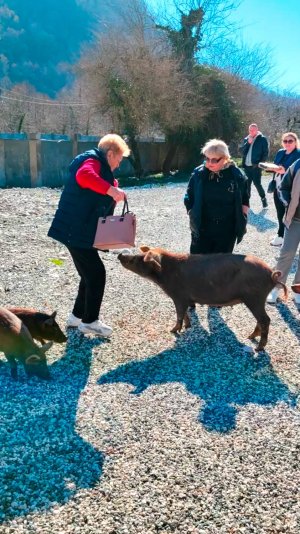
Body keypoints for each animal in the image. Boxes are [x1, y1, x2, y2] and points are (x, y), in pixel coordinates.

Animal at [118, 246, 288, 354]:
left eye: (138, 259)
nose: (120, 255)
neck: (165, 275)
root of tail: (272, 274)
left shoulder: (178, 295)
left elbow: (179, 313)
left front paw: (172, 330)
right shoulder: (184, 298)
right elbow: (185, 313)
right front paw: (188, 327)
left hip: (255, 297)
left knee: (265, 319)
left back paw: (258, 348)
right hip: (256, 299)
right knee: (261, 320)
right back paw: (250, 337)